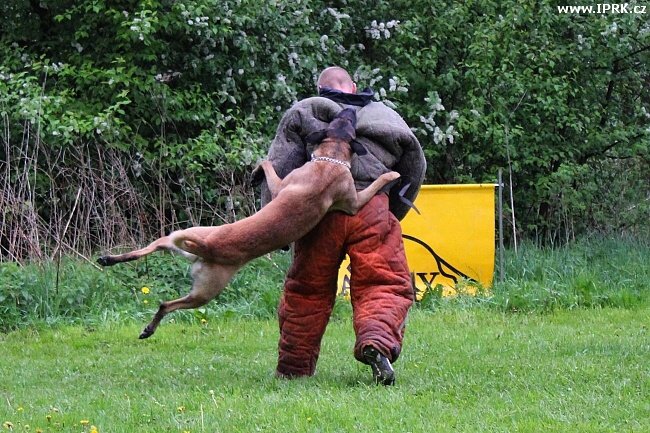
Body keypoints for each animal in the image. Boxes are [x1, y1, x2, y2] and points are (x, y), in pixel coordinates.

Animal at [97, 108, 400, 339]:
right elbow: (268, 164)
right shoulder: (336, 199)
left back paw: (114, 269)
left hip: (197, 270)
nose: (349, 109)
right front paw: (391, 175)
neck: (331, 158)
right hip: (201, 272)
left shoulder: (338, 199)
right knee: (163, 288)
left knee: (160, 277)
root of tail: (206, 247)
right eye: (344, 119)